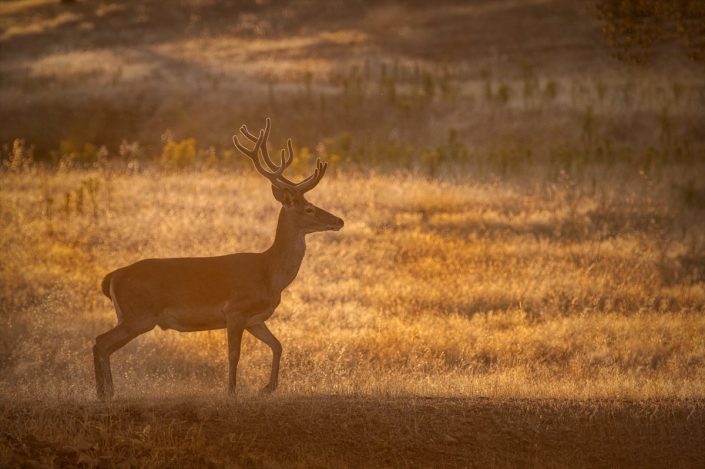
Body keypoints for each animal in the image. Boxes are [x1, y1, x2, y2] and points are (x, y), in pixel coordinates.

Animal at [92, 117, 346, 398]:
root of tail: (111, 277)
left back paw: (105, 392)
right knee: (100, 341)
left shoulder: (255, 319)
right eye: (309, 209)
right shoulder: (235, 310)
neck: (270, 274)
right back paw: (105, 392)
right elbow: (233, 355)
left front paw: (268, 387)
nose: (339, 220)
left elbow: (278, 345)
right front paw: (232, 391)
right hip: (138, 315)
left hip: (132, 316)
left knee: (102, 343)